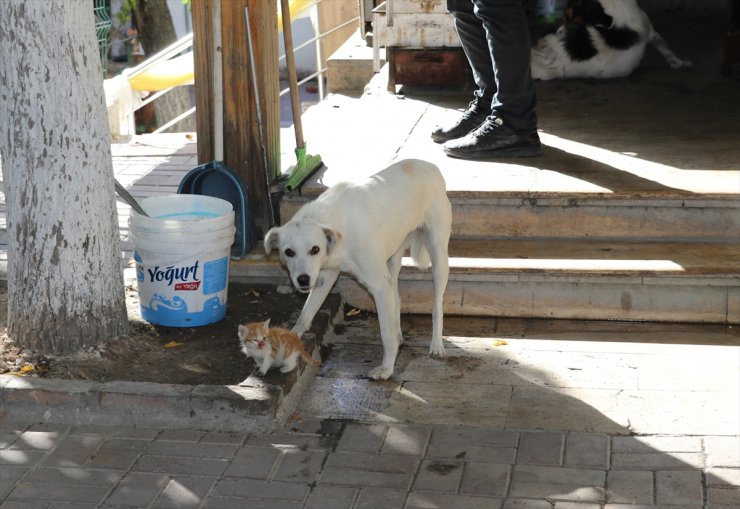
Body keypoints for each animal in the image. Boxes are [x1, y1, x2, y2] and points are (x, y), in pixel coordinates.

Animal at [266, 158, 450, 378]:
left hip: (438, 258)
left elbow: (385, 334)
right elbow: (304, 316)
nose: (303, 280)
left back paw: (436, 345)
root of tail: (429, 165)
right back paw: (400, 334)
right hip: (392, 258)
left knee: (437, 305)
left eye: (315, 249)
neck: (338, 230)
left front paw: (387, 369)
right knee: (396, 299)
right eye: (288, 252)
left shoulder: (379, 285)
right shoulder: (324, 278)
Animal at [532, 0, 692, 79]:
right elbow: (667, 50)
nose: (561, 33)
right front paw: (680, 63)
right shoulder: (653, 33)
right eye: (565, 17)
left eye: (578, 23)